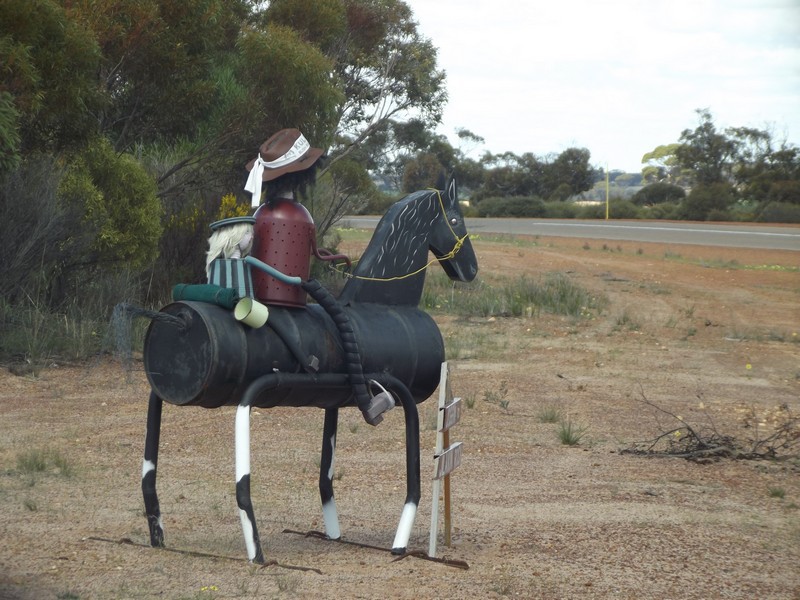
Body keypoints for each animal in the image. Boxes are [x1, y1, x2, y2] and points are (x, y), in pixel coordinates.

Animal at [140, 178, 477, 563]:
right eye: (457, 218)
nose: (471, 270)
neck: (382, 306)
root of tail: (178, 317)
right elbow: (412, 484)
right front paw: (399, 546)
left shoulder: (337, 396)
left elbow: (326, 478)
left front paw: (336, 532)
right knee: (238, 488)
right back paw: (257, 554)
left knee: (148, 478)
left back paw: (159, 538)